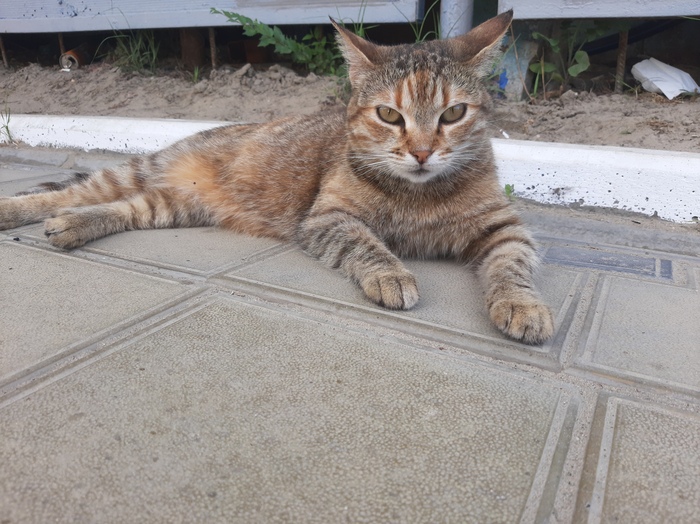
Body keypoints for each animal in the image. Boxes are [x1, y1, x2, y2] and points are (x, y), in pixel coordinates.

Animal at [0, 10, 554, 344]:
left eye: (454, 113)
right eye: (389, 115)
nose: (420, 152)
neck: (418, 195)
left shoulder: (505, 227)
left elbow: (511, 266)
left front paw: (522, 304)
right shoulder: (328, 217)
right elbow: (368, 244)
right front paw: (391, 273)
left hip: (172, 205)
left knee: (118, 208)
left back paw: (72, 226)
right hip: (139, 170)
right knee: (73, 191)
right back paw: (17, 212)